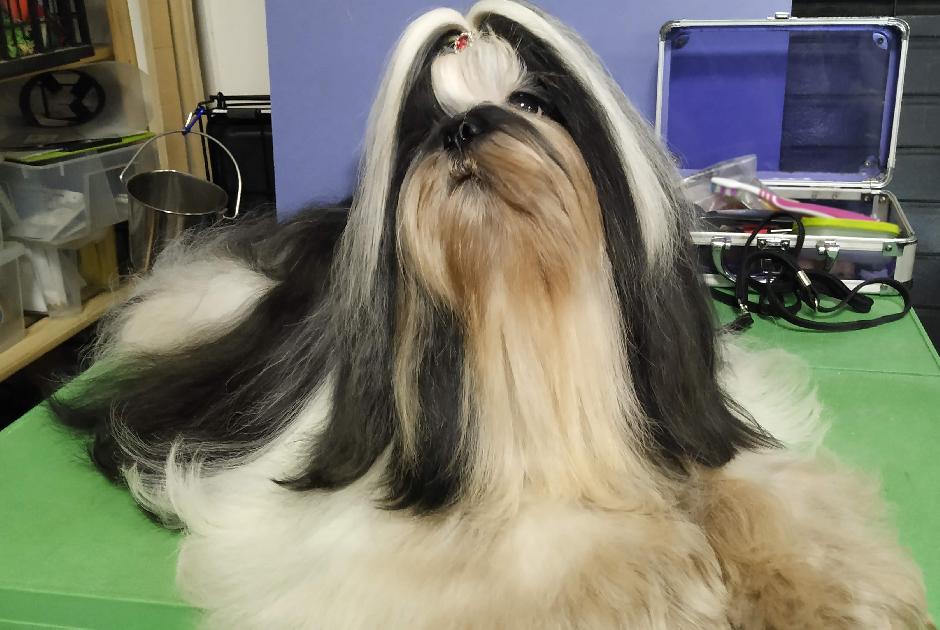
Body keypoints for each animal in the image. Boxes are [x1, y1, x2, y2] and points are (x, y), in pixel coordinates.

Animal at [55, 2, 931, 628]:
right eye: (421, 125)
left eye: (531, 103)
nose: (462, 127)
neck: (522, 296)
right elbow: (551, 537)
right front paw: (660, 582)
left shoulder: (704, 418)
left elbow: (761, 491)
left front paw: (827, 596)